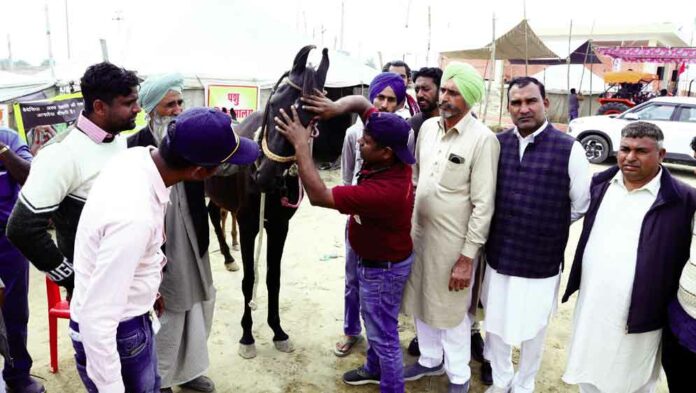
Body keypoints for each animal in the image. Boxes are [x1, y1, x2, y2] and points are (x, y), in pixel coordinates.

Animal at [204, 44, 328, 356]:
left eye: (313, 118)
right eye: (275, 102)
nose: (265, 175)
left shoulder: (279, 227)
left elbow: (273, 278)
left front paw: (277, 331)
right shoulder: (249, 225)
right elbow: (250, 280)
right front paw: (247, 336)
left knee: (214, 212)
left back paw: (228, 256)